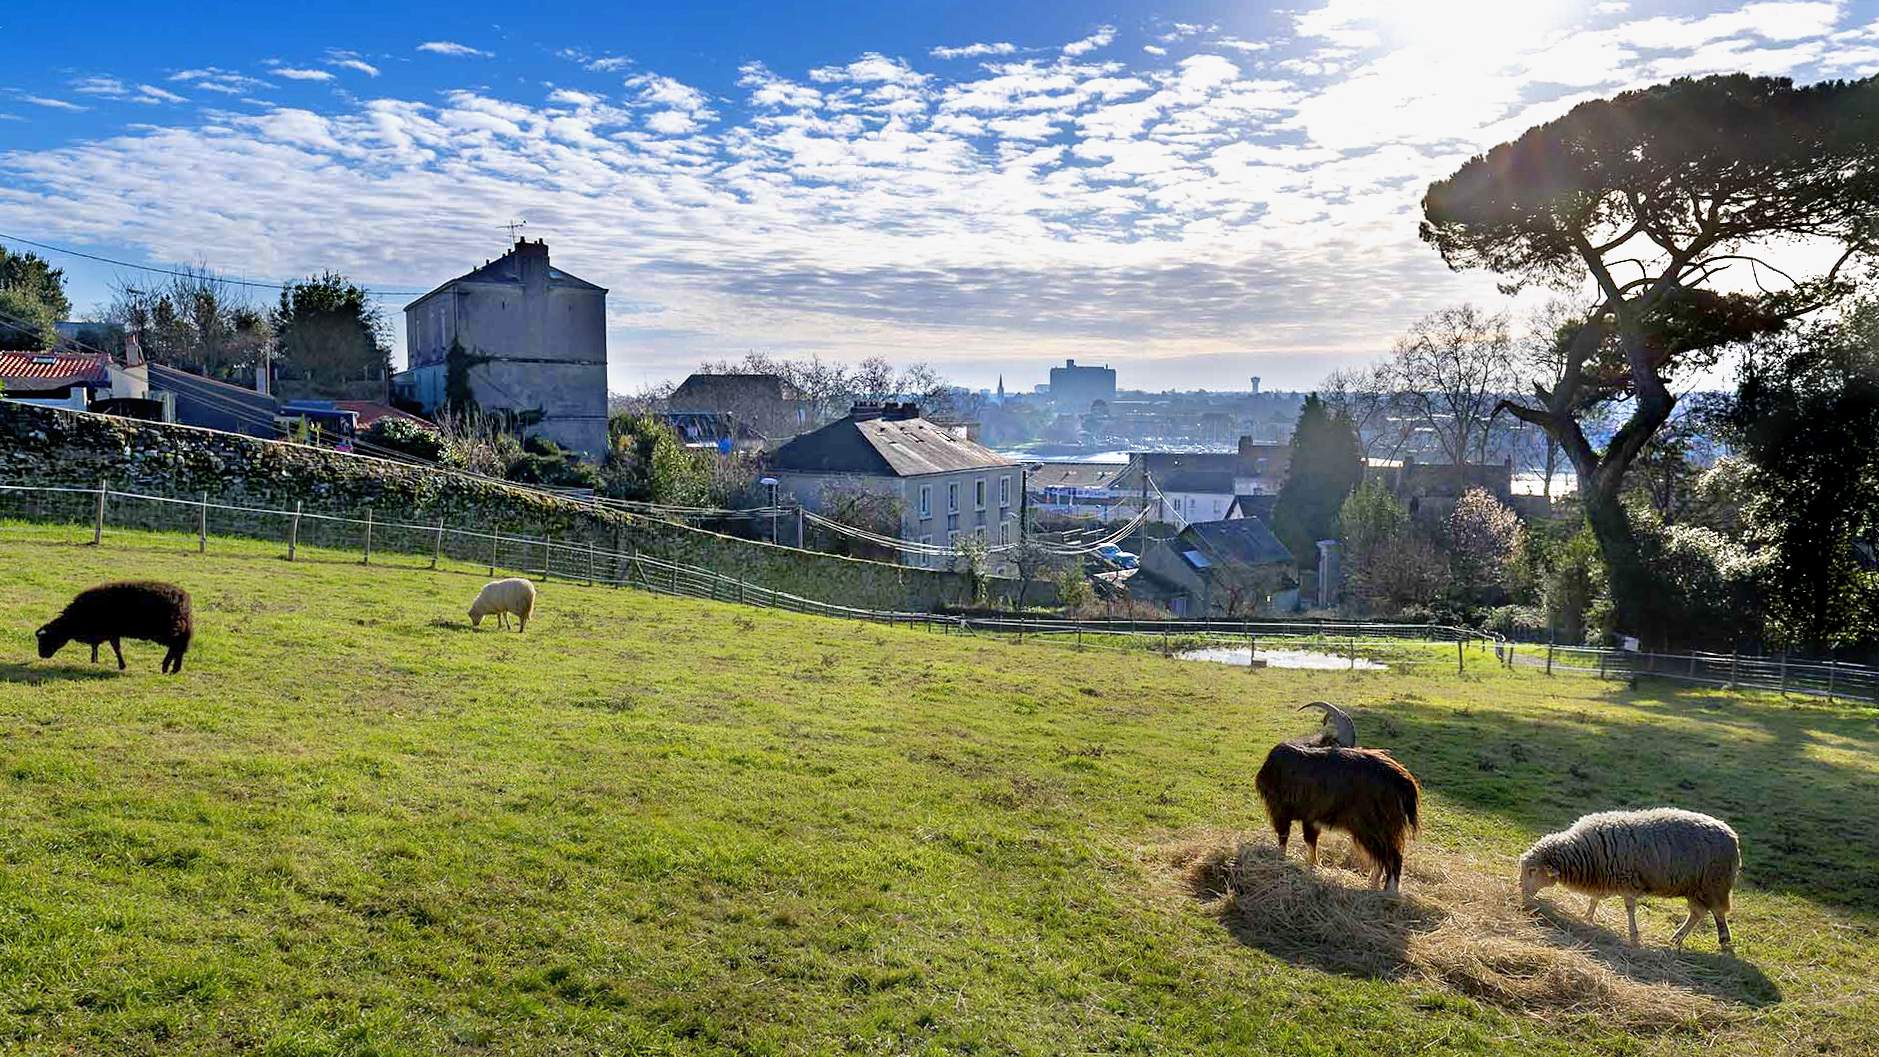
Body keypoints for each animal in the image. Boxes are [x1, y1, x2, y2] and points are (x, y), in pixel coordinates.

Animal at [35, 582, 193, 675]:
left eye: (46, 639)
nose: (41, 655)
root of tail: (183, 598)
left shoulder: (111, 632)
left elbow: (116, 648)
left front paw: (122, 665)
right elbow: (97, 646)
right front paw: (94, 660)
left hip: (170, 631)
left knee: (175, 648)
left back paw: (167, 667)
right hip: (178, 631)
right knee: (179, 649)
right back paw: (174, 669)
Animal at [1255, 702, 1413, 893]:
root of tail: (1402, 780)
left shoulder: (1281, 810)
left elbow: (1284, 838)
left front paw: (1282, 861)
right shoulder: (1311, 819)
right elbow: (1311, 842)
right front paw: (1313, 867)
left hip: (1375, 829)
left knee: (1393, 858)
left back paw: (1387, 892)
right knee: (1386, 860)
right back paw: (1373, 886)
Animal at [1518, 807, 1736, 953]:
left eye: (1532, 870)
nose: (1522, 895)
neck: (1586, 851)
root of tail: (1731, 834)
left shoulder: (1628, 881)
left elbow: (1629, 908)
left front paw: (1633, 936)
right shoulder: (1604, 876)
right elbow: (1595, 898)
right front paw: (1587, 916)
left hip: (1713, 883)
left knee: (1716, 911)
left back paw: (1722, 939)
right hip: (1696, 887)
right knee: (1698, 913)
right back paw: (1677, 939)